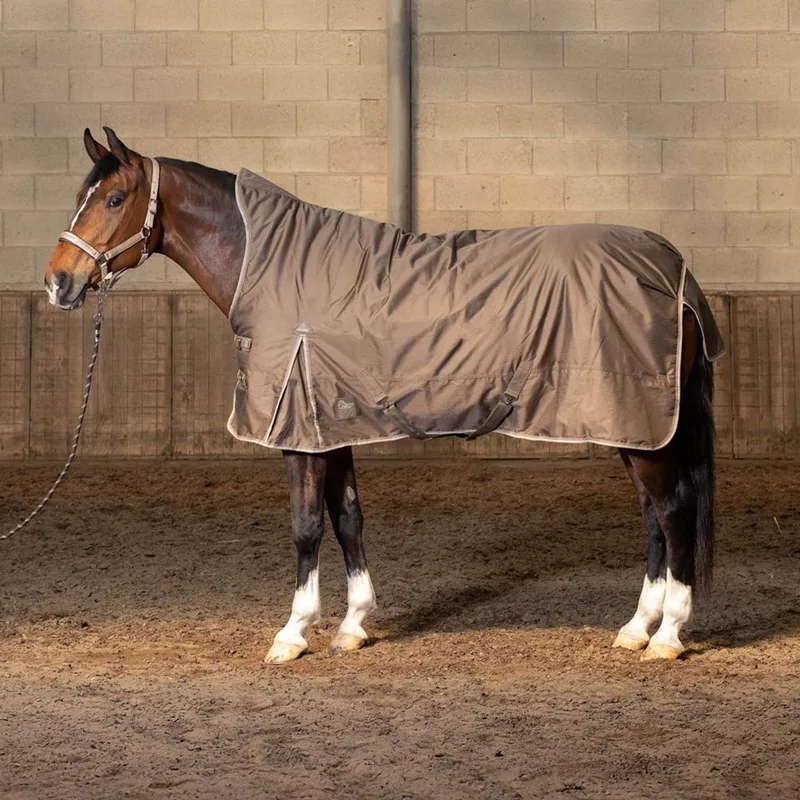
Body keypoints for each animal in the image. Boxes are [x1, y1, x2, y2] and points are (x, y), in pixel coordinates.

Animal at [44, 127, 718, 664]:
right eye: (78, 198)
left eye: (113, 198)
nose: (58, 282)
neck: (275, 269)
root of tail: (674, 270)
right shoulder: (328, 427)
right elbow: (348, 519)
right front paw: (354, 626)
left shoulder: (300, 435)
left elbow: (306, 526)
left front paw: (292, 633)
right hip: (631, 428)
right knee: (653, 516)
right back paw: (636, 628)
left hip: (640, 424)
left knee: (673, 510)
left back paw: (667, 636)